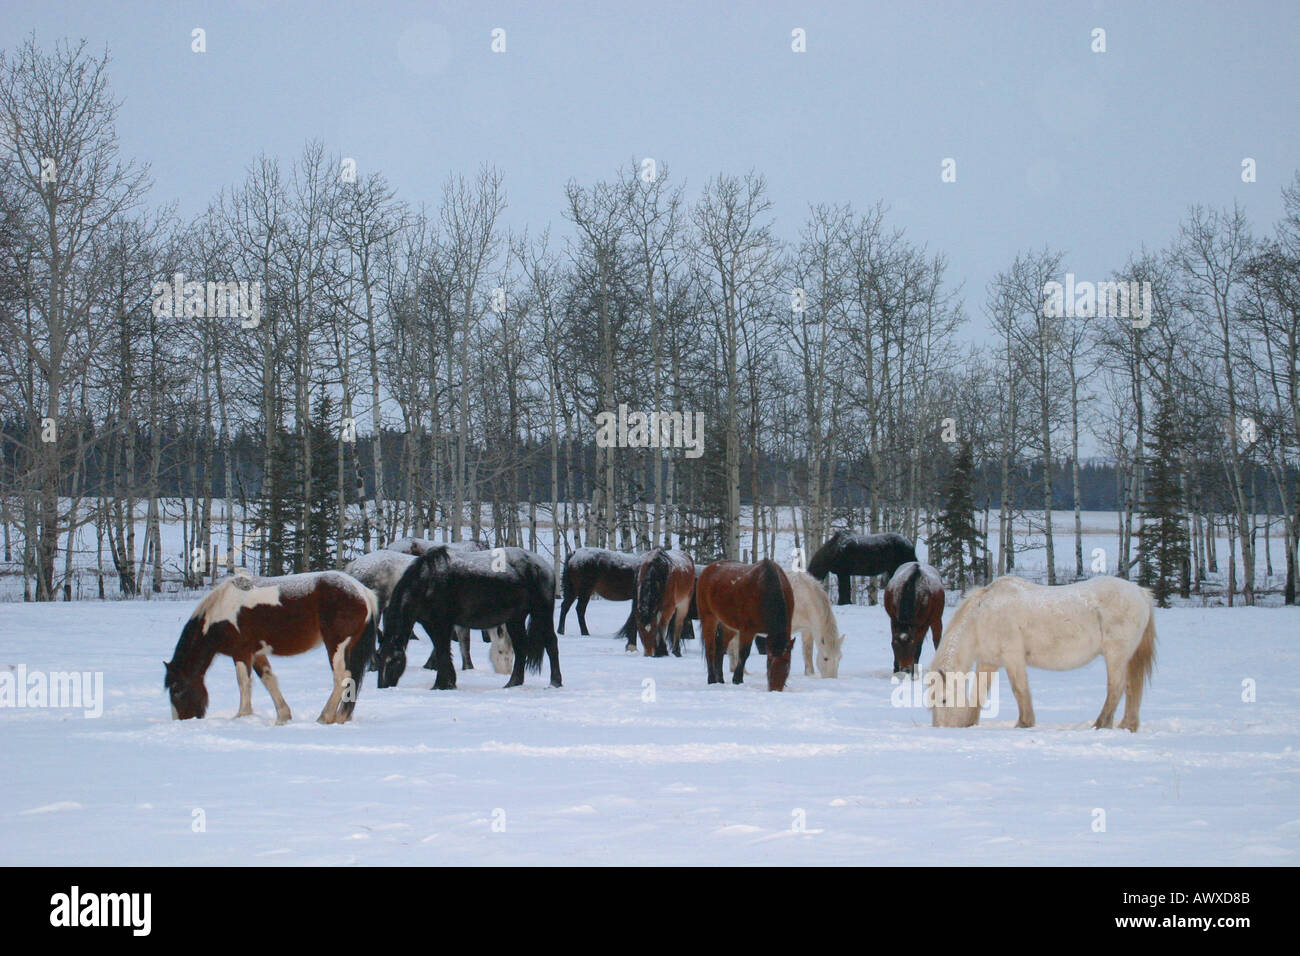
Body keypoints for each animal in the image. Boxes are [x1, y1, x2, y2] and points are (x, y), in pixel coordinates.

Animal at [163, 572, 377, 723]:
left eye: (176, 690)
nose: (181, 721)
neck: (220, 611)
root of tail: (364, 593)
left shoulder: (240, 652)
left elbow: (243, 682)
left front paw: (242, 716)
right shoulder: (256, 653)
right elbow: (269, 680)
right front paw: (282, 716)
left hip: (336, 646)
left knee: (342, 678)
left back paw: (325, 717)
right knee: (352, 679)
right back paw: (342, 717)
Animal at [345, 548, 512, 676]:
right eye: (501, 651)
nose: (505, 673)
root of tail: (353, 566)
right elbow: (463, 644)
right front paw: (465, 667)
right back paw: (373, 665)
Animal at [377, 546, 559, 697]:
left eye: (394, 660)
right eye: (378, 656)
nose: (383, 686)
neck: (427, 582)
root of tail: (544, 566)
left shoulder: (442, 624)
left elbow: (442, 651)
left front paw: (441, 684)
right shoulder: (430, 624)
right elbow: (442, 651)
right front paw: (448, 682)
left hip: (541, 613)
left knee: (551, 643)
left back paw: (555, 683)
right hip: (515, 619)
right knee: (521, 648)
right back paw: (513, 683)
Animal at [696, 556, 795, 691]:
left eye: (788, 665)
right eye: (769, 663)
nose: (775, 689)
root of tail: (707, 570)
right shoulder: (747, 630)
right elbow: (743, 654)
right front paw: (737, 680)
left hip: (728, 625)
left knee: (720, 648)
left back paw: (720, 679)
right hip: (709, 618)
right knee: (710, 648)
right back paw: (711, 679)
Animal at [925, 574, 1159, 733]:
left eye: (944, 700)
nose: (942, 728)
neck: (982, 616)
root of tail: (1140, 592)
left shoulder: (1013, 657)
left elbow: (1020, 690)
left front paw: (1024, 723)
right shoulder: (988, 661)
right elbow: (979, 693)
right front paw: (970, 723)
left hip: (1115, 654)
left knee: (1116, 688)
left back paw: (1101, 724)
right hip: (1128, 657)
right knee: (1131, 688)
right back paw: (1127, 725)